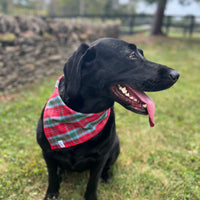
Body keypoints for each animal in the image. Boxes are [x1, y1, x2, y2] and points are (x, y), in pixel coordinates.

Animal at [36, 37, 180, 198]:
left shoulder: (101, 158)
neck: (83, 118)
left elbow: (93, 181)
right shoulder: (47, 153)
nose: (176, 74)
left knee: (106, 169)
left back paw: (106, 176)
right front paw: (52, 193)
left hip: (115, 147)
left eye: (142, 53)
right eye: (132, 55)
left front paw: (91, 196)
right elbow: (52, 176)